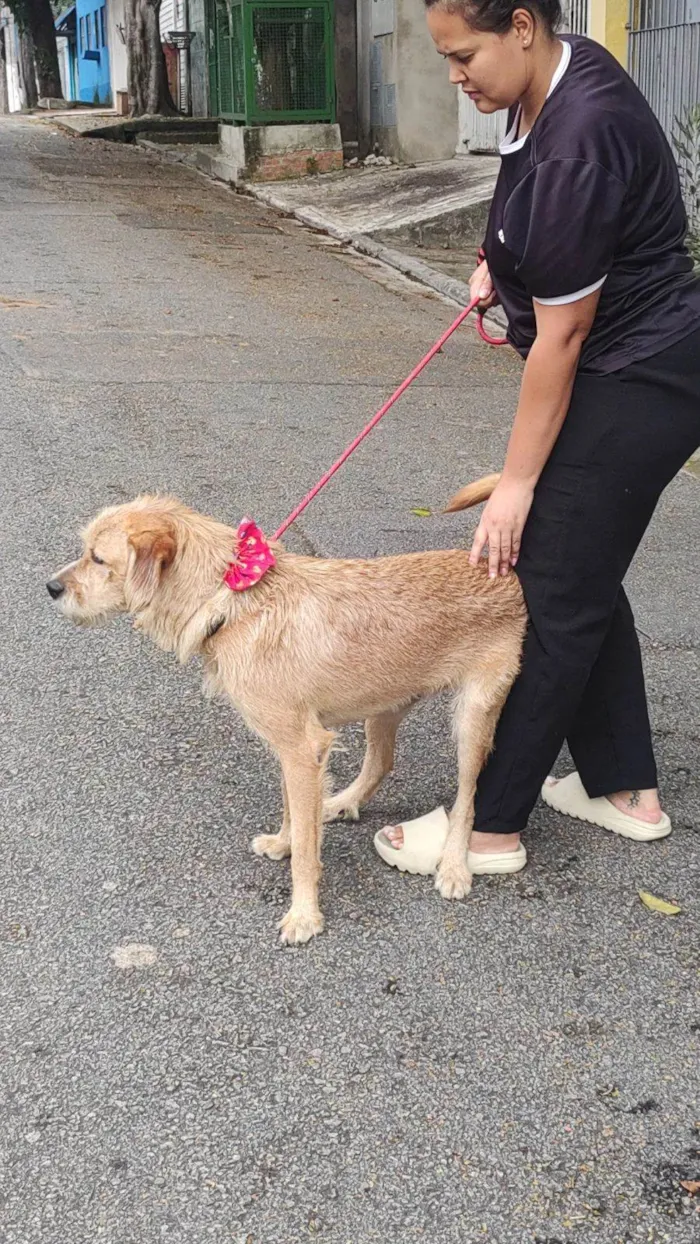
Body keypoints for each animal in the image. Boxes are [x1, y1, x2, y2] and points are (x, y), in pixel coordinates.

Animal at [47, 475, 519, 940]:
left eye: (98, 558)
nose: (51, 588)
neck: (232, 600)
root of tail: (499, 571)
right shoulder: (294, 751)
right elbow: (294, 809)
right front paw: (283, 842)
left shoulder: (301, 748)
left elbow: (307, 851)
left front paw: (304, 914)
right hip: (384, 704)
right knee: (382, 761)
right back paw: (341, 802)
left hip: (473, 720)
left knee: (467, 798)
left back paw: (454, 866)